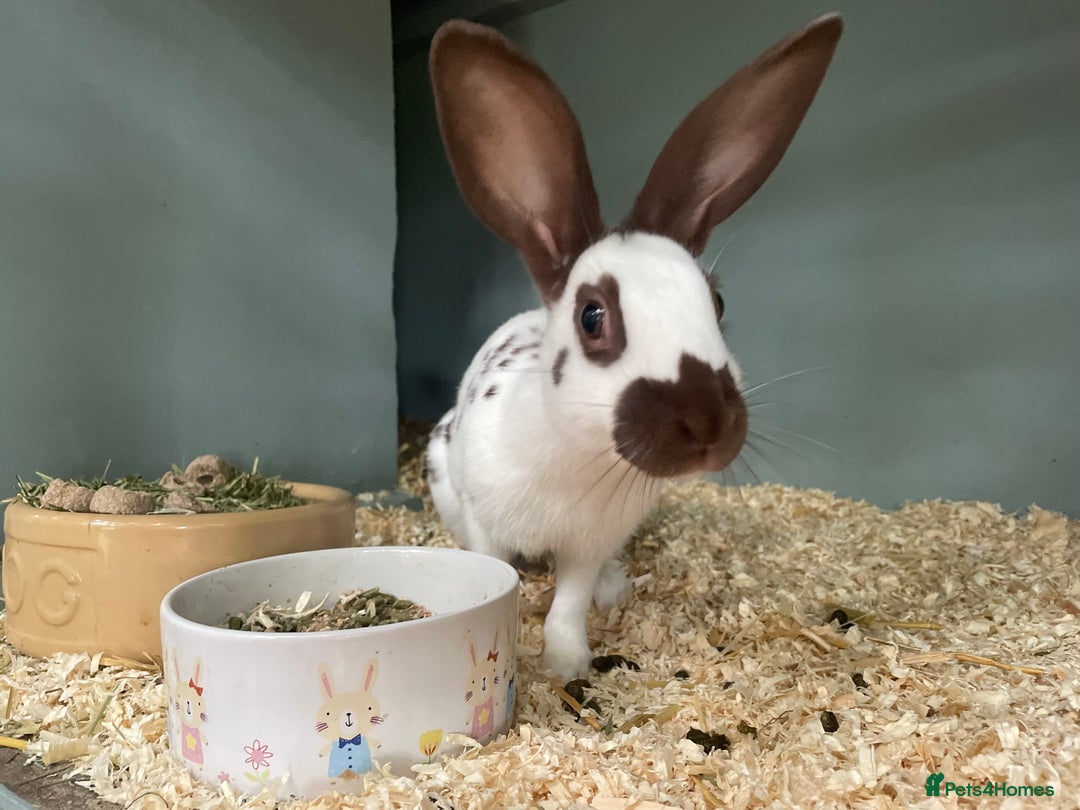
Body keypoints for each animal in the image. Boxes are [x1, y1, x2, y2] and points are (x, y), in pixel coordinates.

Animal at [425, 14, 843, 679]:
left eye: (717, 303)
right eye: (592, 316)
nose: (707, 424)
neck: (576, 459)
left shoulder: (588, 544)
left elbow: (566, 606)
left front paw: (568, 665)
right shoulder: (486, 521)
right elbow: (500, 577)